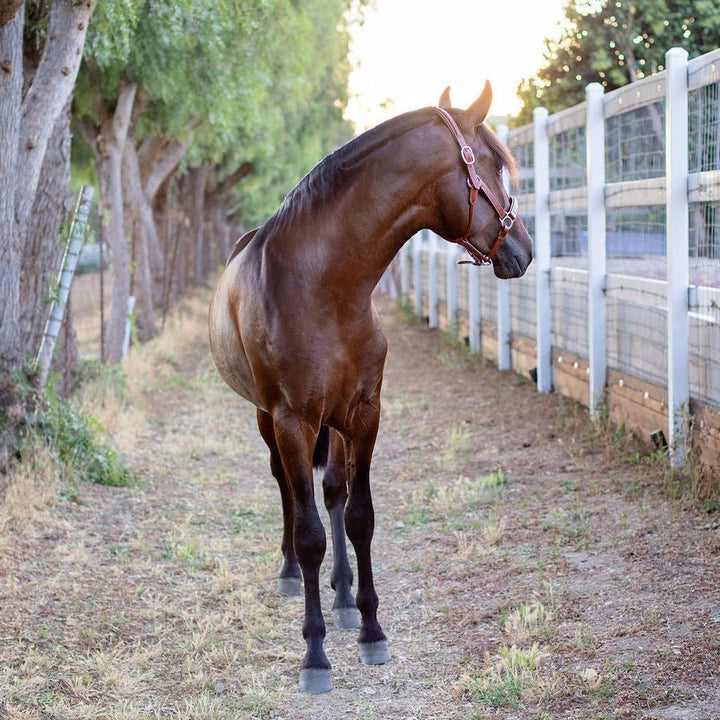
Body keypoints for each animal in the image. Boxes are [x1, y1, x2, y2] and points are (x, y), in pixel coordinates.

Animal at [208, 82, 533, 693]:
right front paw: (314, 656)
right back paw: (292, 575)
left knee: (332, 491)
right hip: (268, 420)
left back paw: (341, 595)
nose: (523, 250)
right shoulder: (292, 419)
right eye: (495, 168)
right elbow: (310, 530)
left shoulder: (364, 412)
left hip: (333, 424)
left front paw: (370, 629)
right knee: (287, 490)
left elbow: (358, 516)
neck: (324, 287)